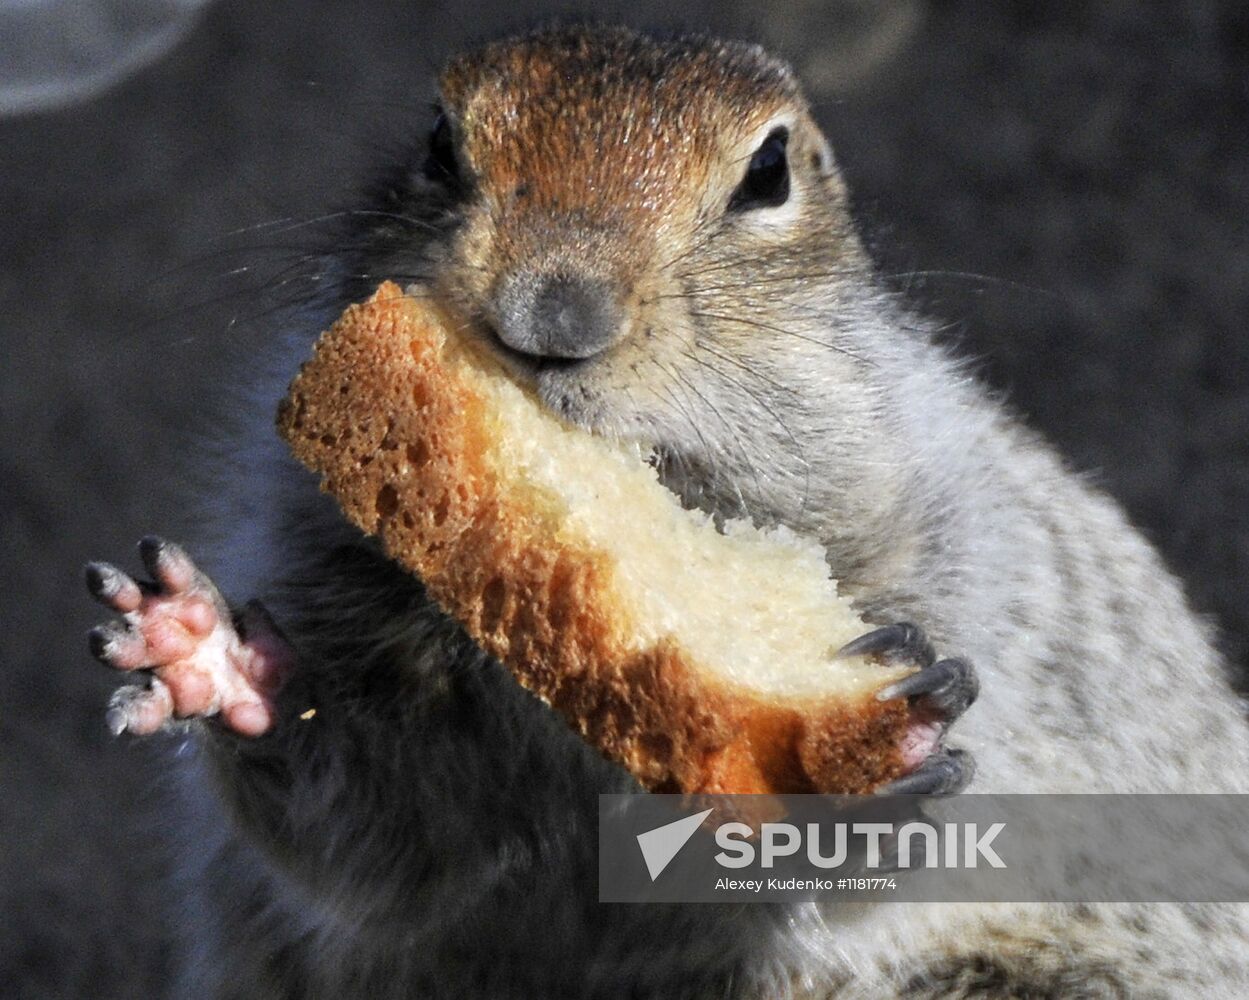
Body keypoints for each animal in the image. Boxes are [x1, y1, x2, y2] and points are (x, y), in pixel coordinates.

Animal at [83, 23, 1244, 998]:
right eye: (439, 143)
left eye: (768, 173)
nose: (553, 315)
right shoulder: (320, 563)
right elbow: (371, 826)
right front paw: (211, 652)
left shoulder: (951, 551)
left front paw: (883, 743)